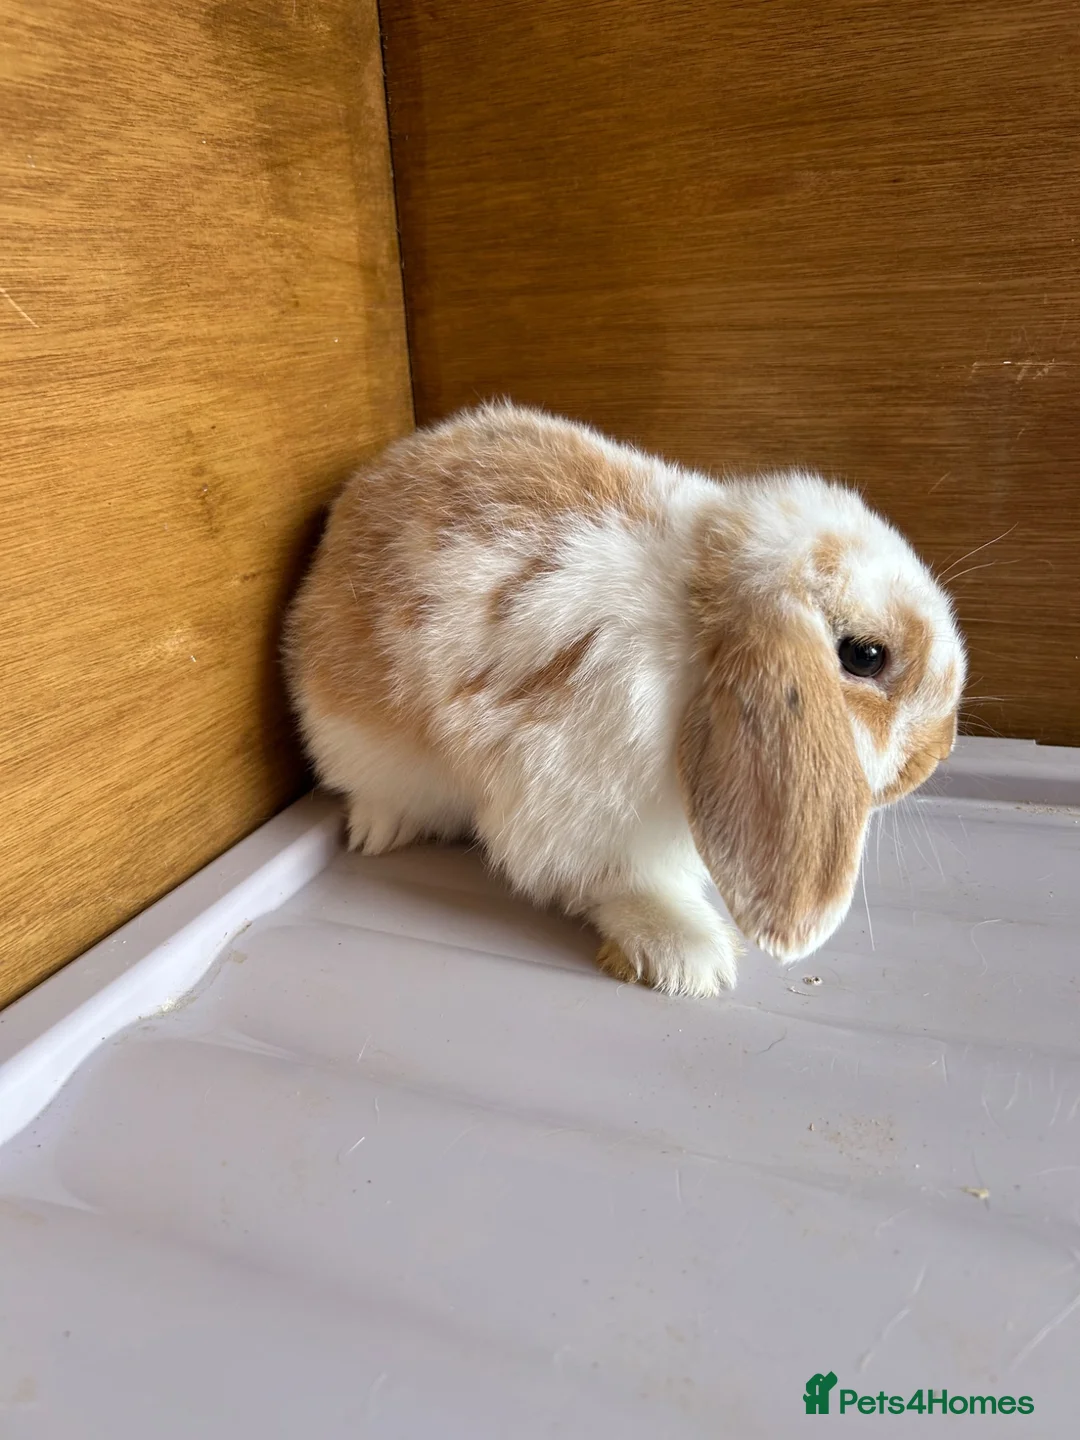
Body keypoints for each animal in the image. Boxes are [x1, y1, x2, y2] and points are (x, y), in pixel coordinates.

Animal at [283, 401, 965, 997]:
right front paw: (690, 955)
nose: (939, 753)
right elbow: (621, 882)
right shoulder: (570, 802)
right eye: (865, 657)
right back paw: (378, 828)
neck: (694, 626)